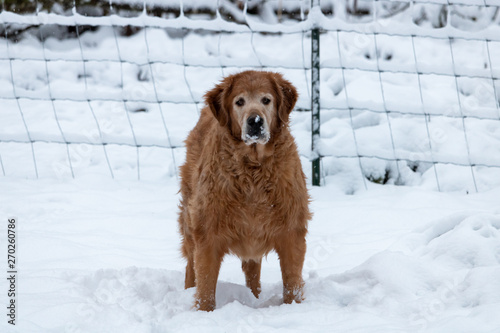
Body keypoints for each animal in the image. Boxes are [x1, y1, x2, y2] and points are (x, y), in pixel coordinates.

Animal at [178, 70, 310, 312]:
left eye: (266, 100)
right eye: (239, 102)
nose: (255, 121)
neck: (253, 168)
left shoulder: (292, 231)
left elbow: (292, 282)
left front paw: (294, 307)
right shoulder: (207, 233)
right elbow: (205, 286)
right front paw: (204, 313)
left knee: (252, 271)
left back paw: (254, 298)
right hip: (190, 221)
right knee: (190, 265)